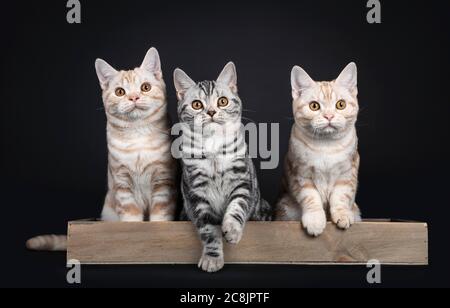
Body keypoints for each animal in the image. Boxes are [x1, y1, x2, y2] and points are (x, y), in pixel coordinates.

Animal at [173, 62, 270, 272]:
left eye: (223, 101)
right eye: (197, 105)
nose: (211, 112)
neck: (213, 147)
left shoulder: (243, 181)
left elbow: (237, 206)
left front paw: (232, 230)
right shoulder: (196, 194)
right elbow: (209, 230)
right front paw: (212, 257)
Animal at [274, 62, 362, 236]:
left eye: (341, 104)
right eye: (314, 106)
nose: (329, 116)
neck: (326, 146)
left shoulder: (347, 172)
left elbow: (341, 196)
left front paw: (342, 214)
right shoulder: (300, 174)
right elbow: (311, 197)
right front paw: (315, 220)